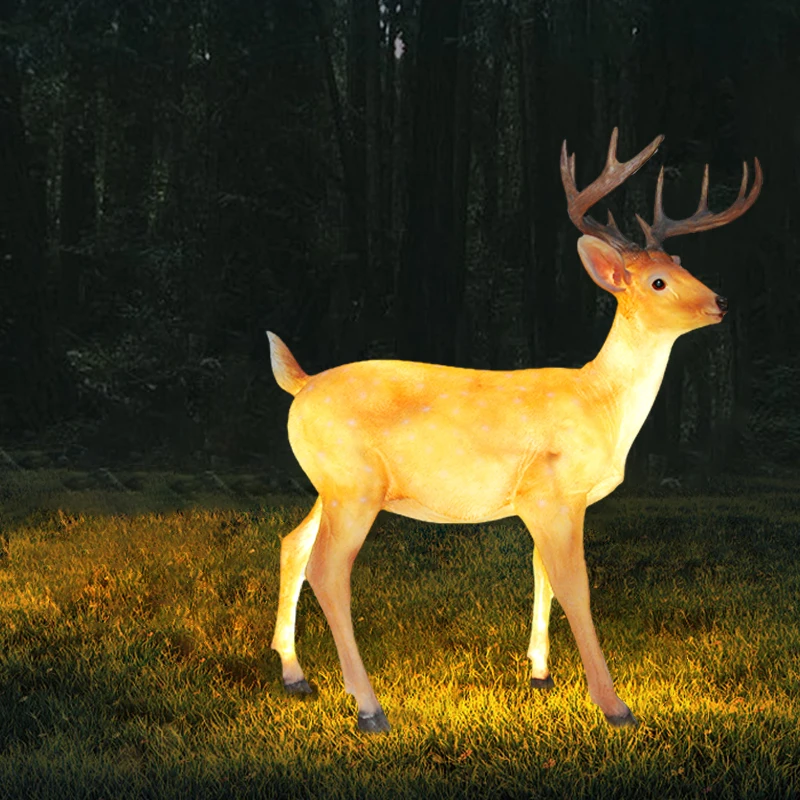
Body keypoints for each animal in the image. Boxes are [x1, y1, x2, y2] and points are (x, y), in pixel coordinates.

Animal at [267, 128, 762, 733]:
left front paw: (541, 673)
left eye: (681, 264)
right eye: (658, 281)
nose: (721, 302)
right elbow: (576, 586)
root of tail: (301, 384)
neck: (602, 404)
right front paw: (614, 705)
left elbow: (541, 573)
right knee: (328, 569)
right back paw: (368, 707)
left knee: (292, 544)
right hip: (353, 484)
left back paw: (296, 676)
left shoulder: (548, 502)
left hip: (331, 483)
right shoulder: (552, 492)